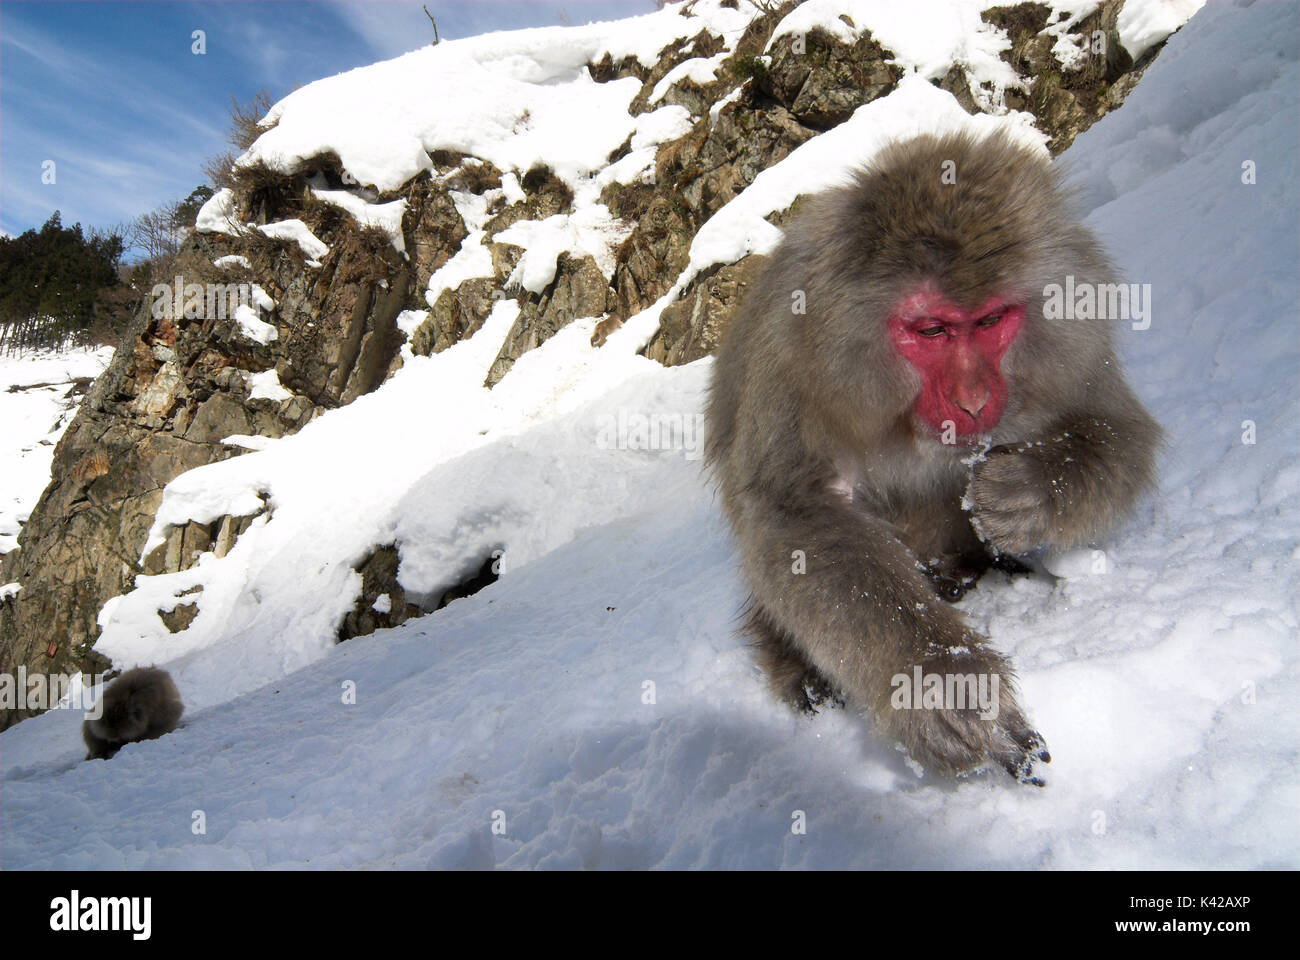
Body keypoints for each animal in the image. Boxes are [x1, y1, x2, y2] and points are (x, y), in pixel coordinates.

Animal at [707, 128, 1164, 785]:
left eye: (991, 319)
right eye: (932, 331)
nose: (973, 399)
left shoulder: (1075, 348)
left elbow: (1119, 425)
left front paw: (1025, 493)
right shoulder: (793, 363)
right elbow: (797, 515)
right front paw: (942, 685)